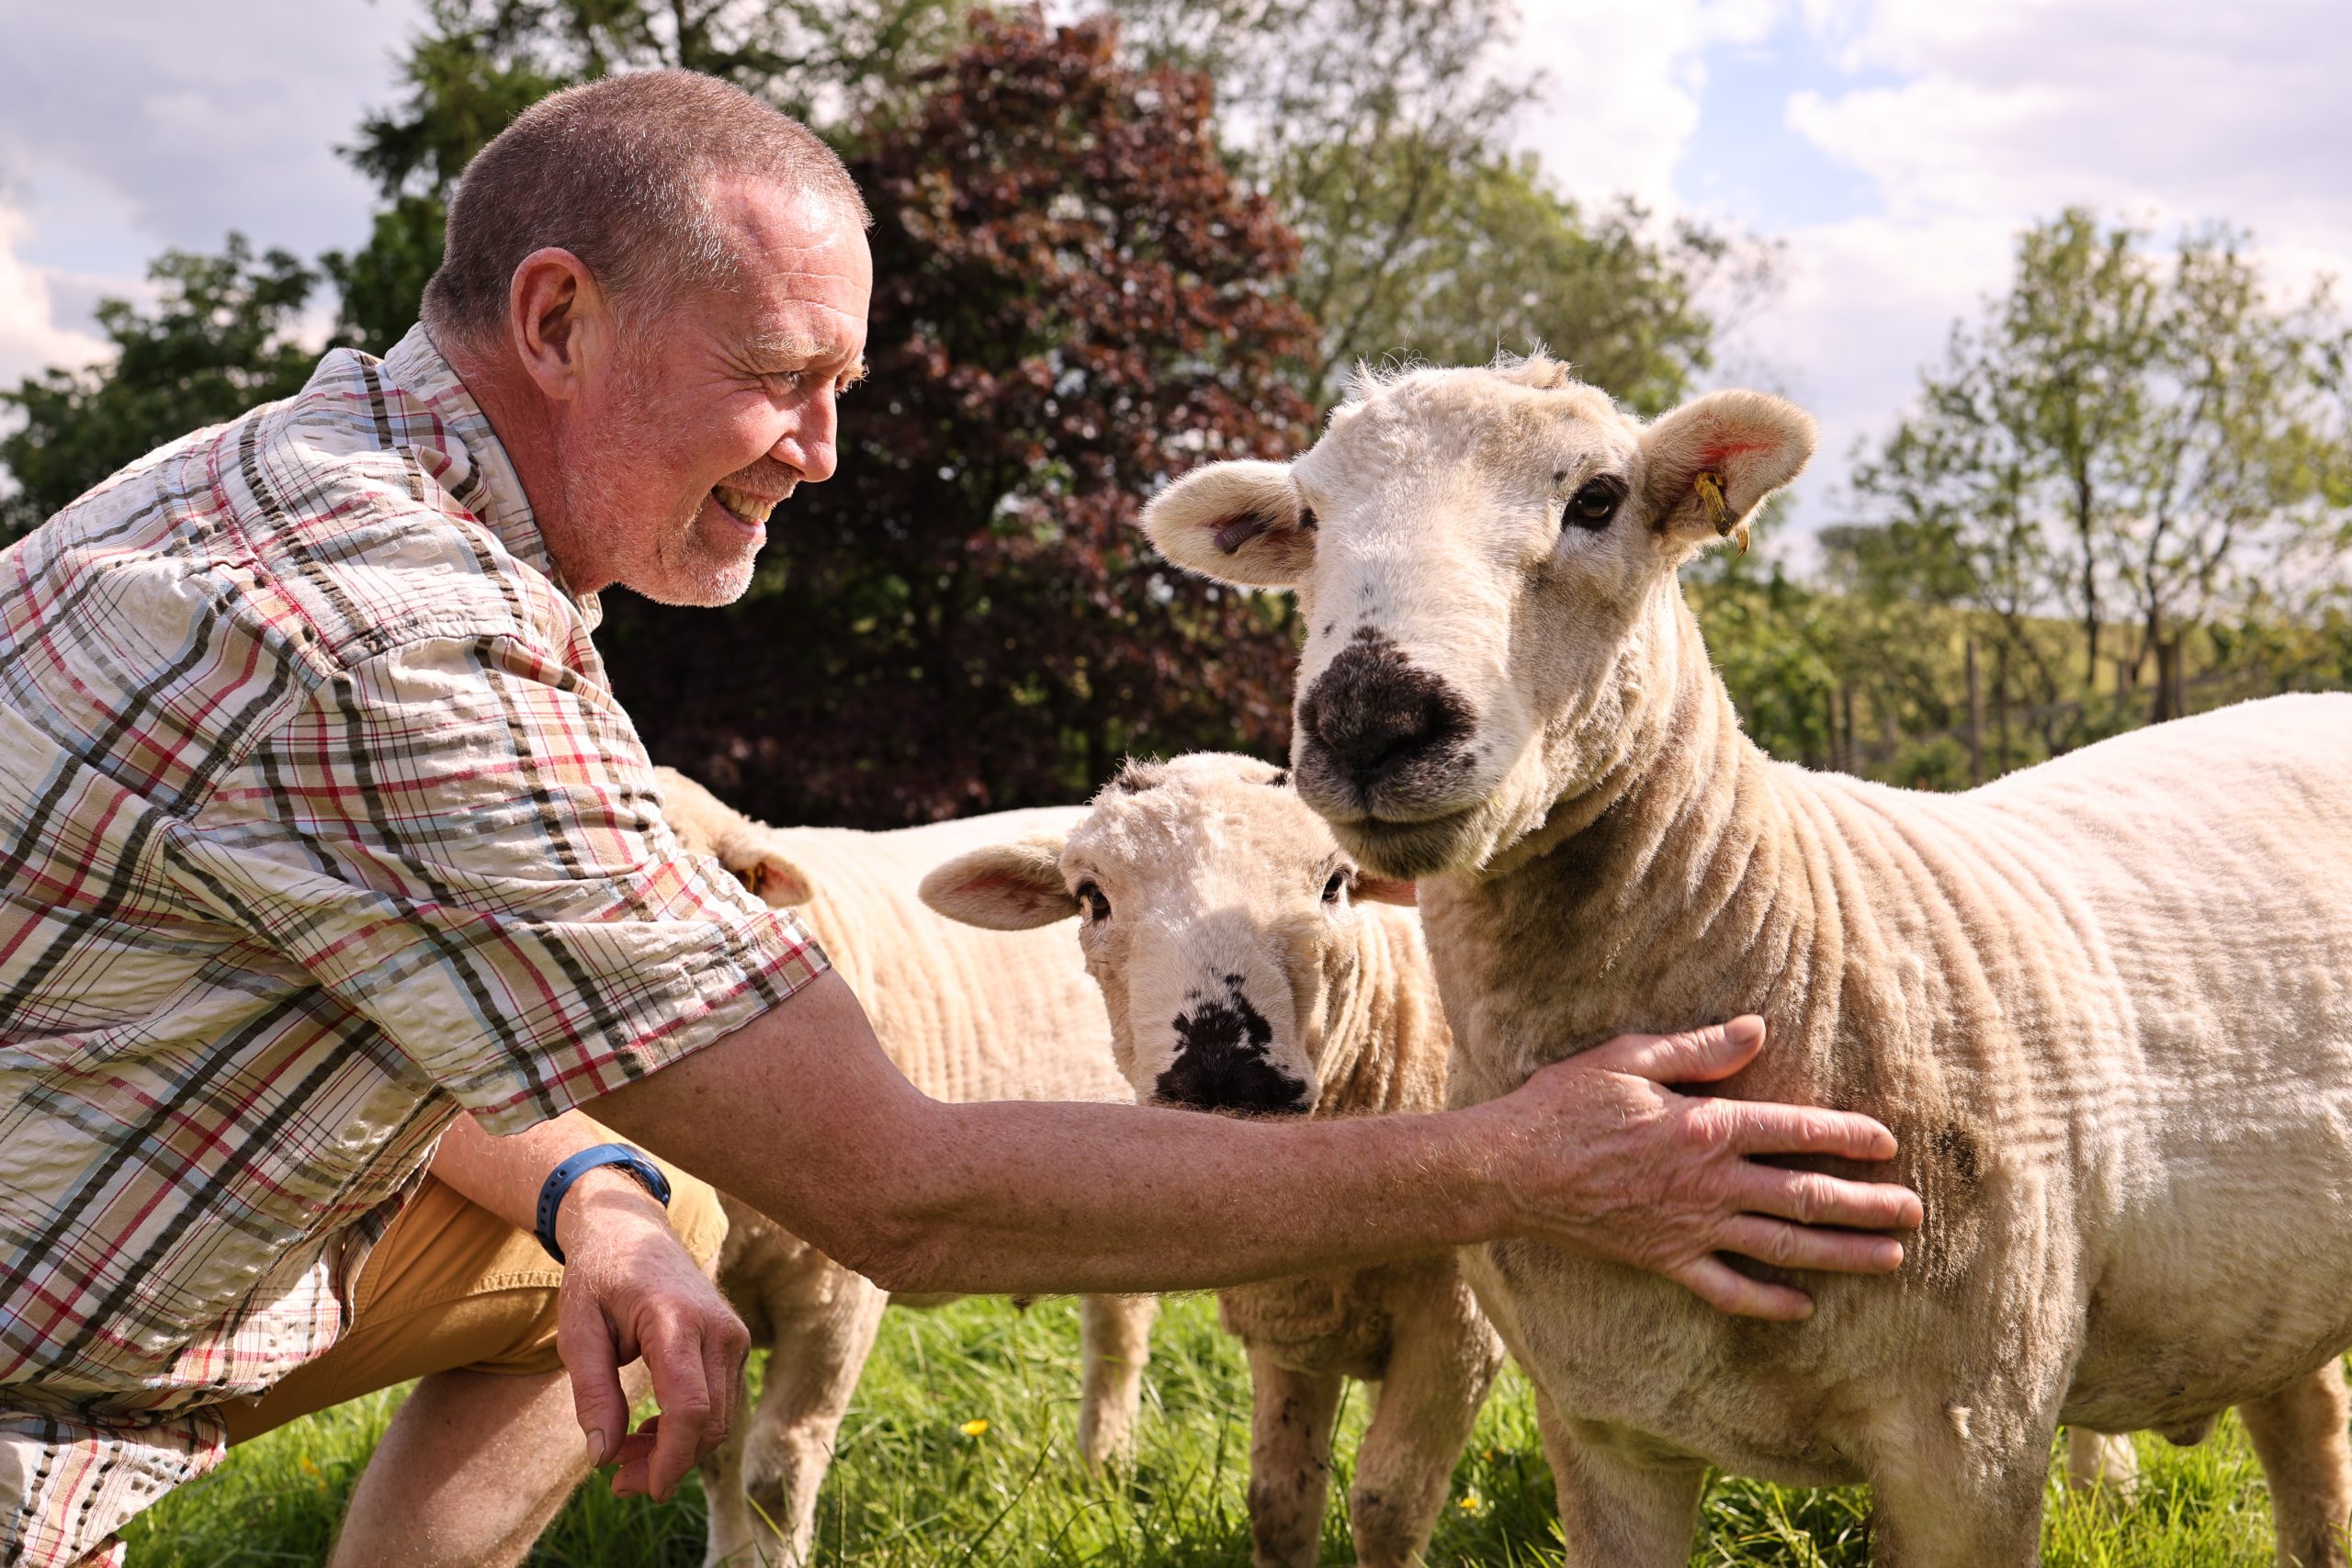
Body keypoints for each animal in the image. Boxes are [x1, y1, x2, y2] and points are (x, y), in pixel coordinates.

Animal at [908, 751, 1496, 1561]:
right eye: (1092, 897)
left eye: (1335, 882)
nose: (1224, 1076)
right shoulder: (1290, 1325)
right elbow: (1280, 1500)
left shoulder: (1459, 1328)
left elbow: (1388, 1505)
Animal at [1138, 355, 2352, 1568]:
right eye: (1308, 518)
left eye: (1597, 499)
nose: (1370, 720)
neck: (1787, 940)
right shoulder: (1600, 1425)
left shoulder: (1975, 1437)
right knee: (2304, 1423)